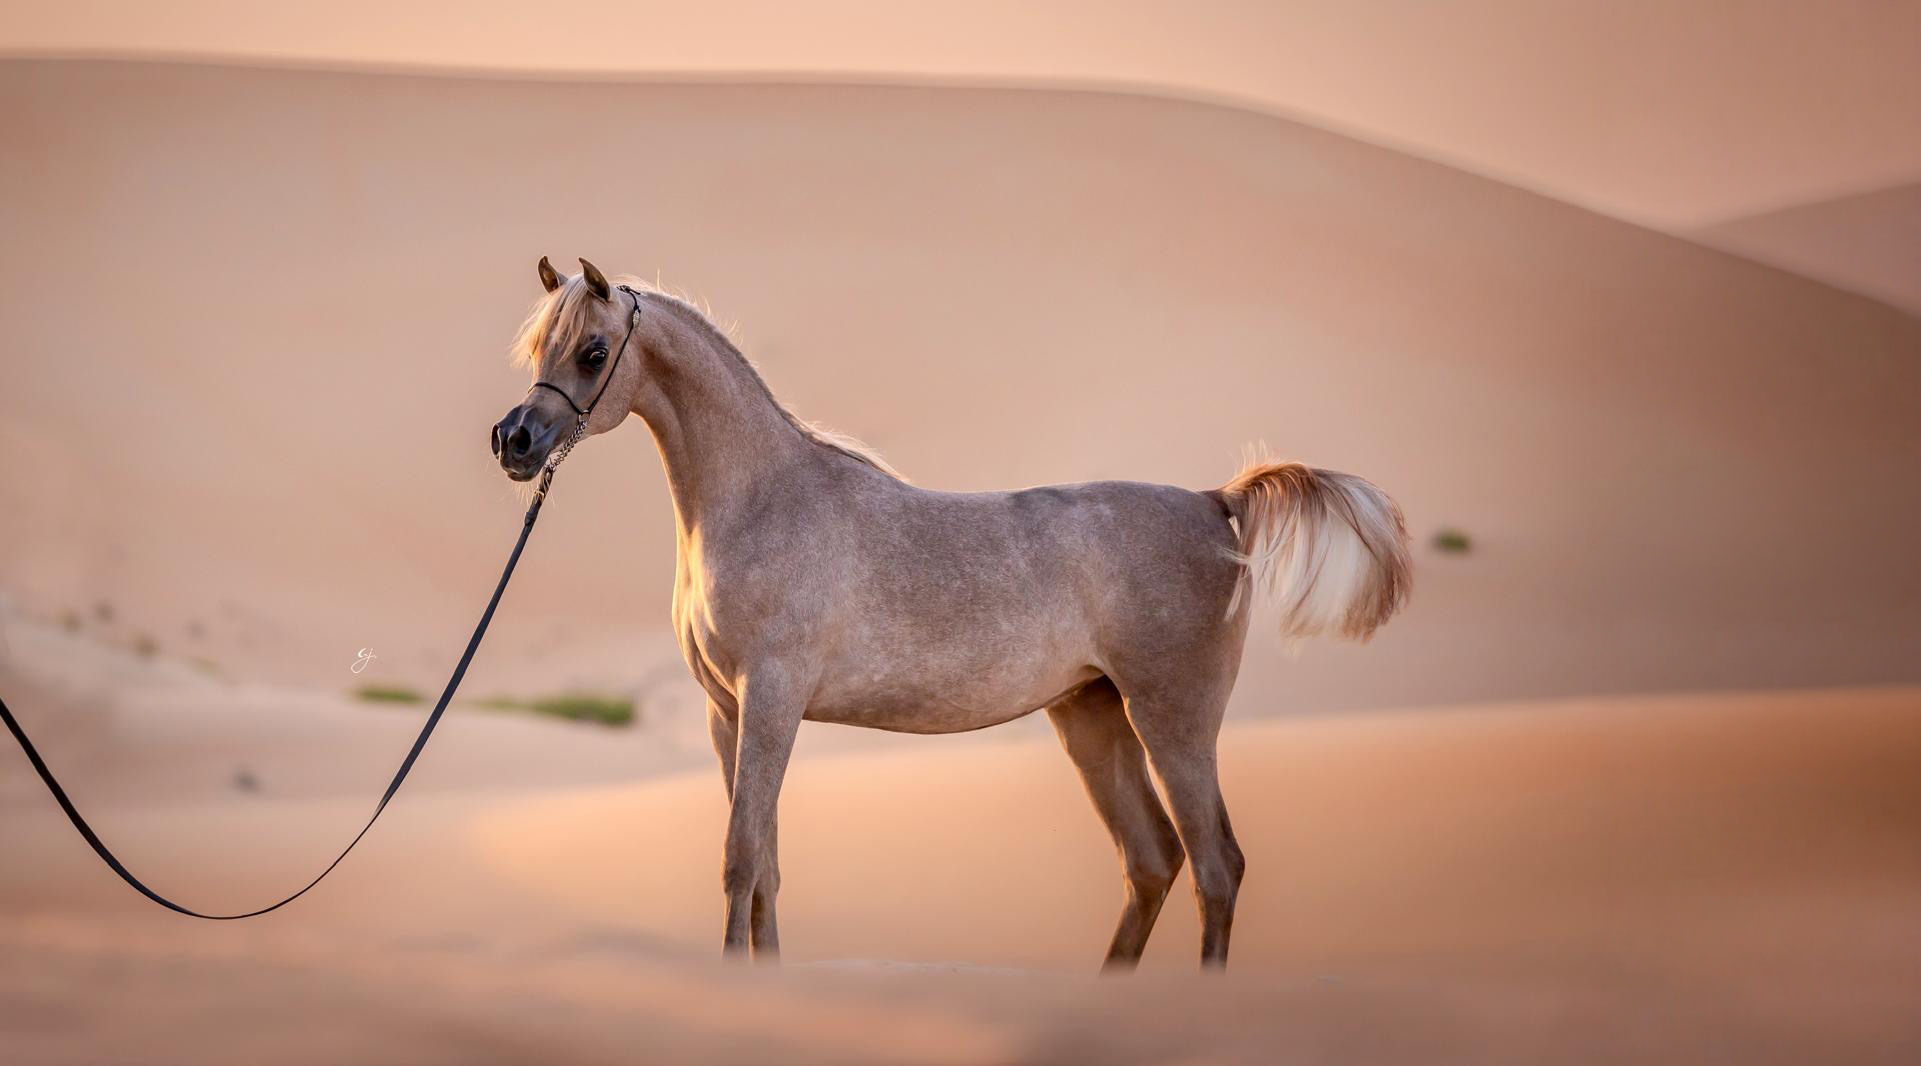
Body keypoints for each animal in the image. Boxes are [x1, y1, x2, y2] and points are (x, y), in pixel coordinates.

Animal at [491, 257, 1412, 970]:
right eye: (537, 347)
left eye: (593, 350)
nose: (515, 442)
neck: (763, 499)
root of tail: (1213, 502)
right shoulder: (730, 713)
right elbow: (765, 868)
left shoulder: (771, 704)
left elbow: (740, 859)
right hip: (1090, 716)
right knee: (1151, 861)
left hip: (1173, 722)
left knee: (1216, 866)